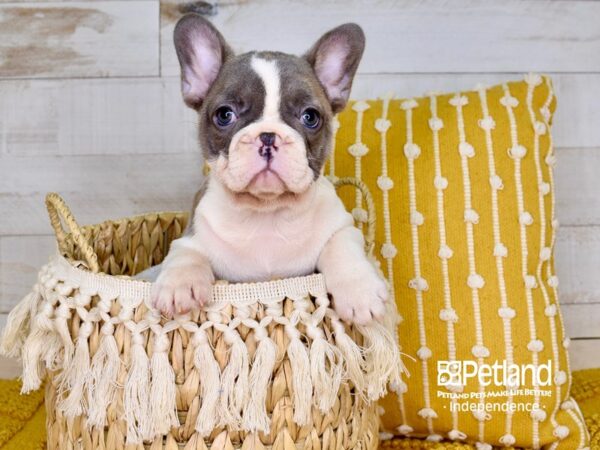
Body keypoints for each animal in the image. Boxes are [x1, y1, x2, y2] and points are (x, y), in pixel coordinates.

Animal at [152, 14, 386, 324]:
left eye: (310, 117)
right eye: (224, 114)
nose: (267, 136)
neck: (266, 211)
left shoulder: (341, 226)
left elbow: (342, 245)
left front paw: (360, 291)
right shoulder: (193, 234)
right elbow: (184, 254)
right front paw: (178, 286)